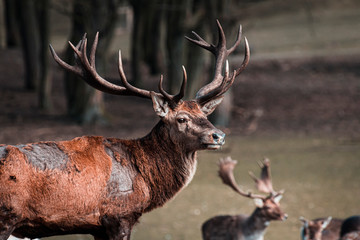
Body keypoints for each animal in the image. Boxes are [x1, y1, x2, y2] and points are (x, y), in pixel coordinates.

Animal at [0, 20, 249, 240]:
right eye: (181, 119)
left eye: (205, 115)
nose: (219, 135)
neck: (146, 182)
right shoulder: (118, 215)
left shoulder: (97, 227)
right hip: (6, 216)